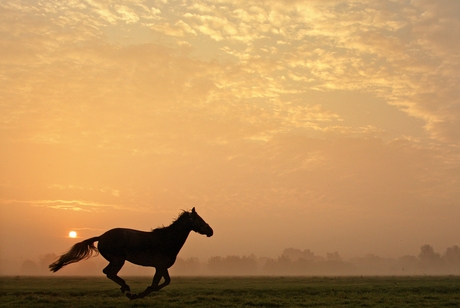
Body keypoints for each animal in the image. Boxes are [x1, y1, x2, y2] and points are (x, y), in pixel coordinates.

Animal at [49, 207, 215, 298]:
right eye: (199, 219)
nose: (210, 231)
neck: (167, 240)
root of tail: (101, 237)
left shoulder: (162, 267)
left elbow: (165, 282)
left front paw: (141, 293)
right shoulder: (160, 267)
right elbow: (156, 283)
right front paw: (139, 295)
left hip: (115, 260)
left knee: (107, 272)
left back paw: (125, 288)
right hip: (118, 260)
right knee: (110, 273)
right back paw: (128, 290)